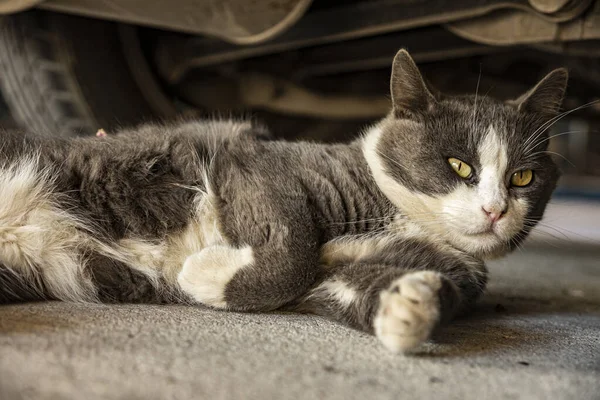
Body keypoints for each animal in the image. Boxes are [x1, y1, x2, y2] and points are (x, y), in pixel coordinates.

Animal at [0, 50, 564, 354]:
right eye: (459, 166)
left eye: (523, 177)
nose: (495, 210)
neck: (405, 219)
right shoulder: (257, 165)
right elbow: (293, 248)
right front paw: (201, 274)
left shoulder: (357, 276)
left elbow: (341, 286)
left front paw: (411, 305)